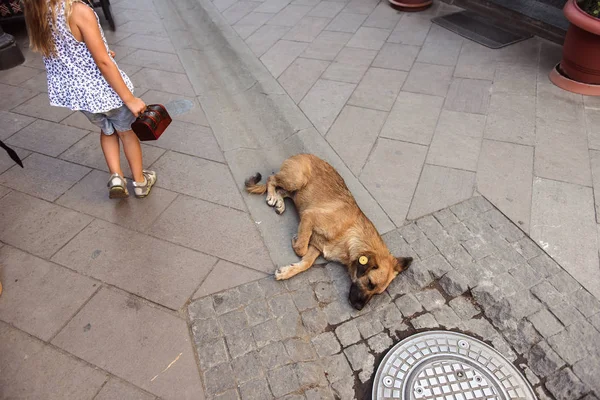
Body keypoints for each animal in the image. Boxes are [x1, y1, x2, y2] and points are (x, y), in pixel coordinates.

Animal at [245, 153, 412, 310]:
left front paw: (287, 271)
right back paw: (272, 196)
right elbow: (301, 248)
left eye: (377, 293)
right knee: (271, 179)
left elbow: (306, 263)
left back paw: (279, 202)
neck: (349, 234)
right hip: (296, 180)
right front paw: (296, 241)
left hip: (296, 190)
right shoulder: (309, 217)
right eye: (370, 283)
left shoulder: (317, 247)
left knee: (283, 191)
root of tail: (302, 154)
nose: (358, 308)